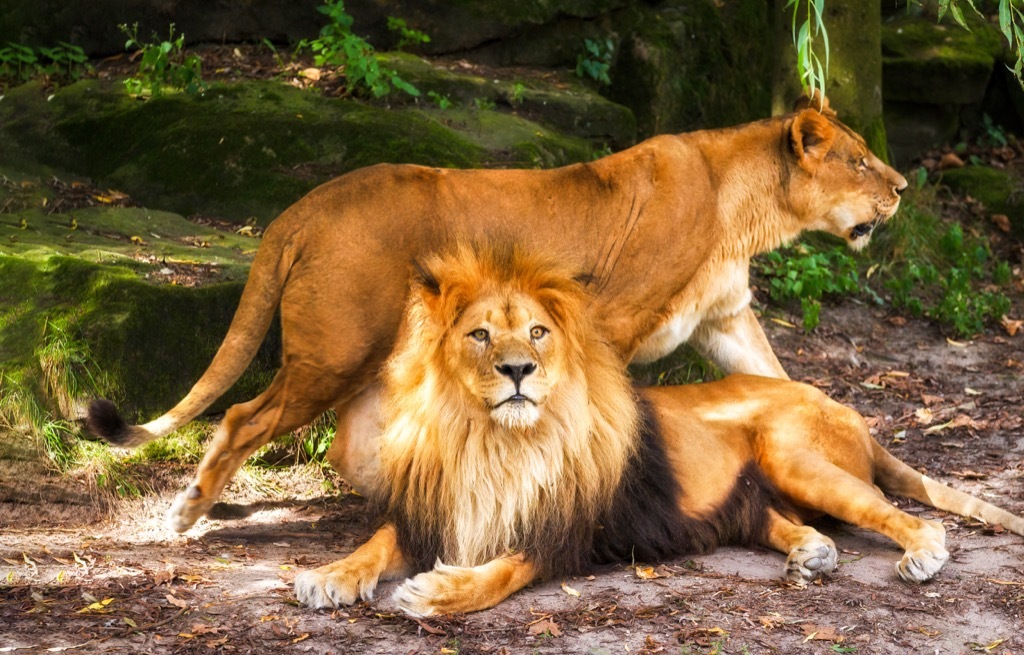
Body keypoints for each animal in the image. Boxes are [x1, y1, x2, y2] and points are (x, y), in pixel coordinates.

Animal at [86, 94, 905, 532]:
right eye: (860, 161)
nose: (900, 188)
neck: (744, 210)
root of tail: (305, 206)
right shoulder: (607, 318)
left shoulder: (725, 320)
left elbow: (783, 382)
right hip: (334, 351)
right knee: (242, 417)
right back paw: (188, 512)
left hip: (374, 362)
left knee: (346, 447)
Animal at [292, 247, 1019, 618]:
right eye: (479, 334)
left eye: (538, 332)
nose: (519, 370)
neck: (490, 441)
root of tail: (849, 411)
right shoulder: (434, 507)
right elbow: (375, 544)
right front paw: (327, 575)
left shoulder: (570, 527)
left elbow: (499, 571)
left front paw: (437, 592)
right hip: (750, 498)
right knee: (790, 523)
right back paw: (811, 554)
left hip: (792, 453)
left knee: (911, 518)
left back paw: (921, 556)